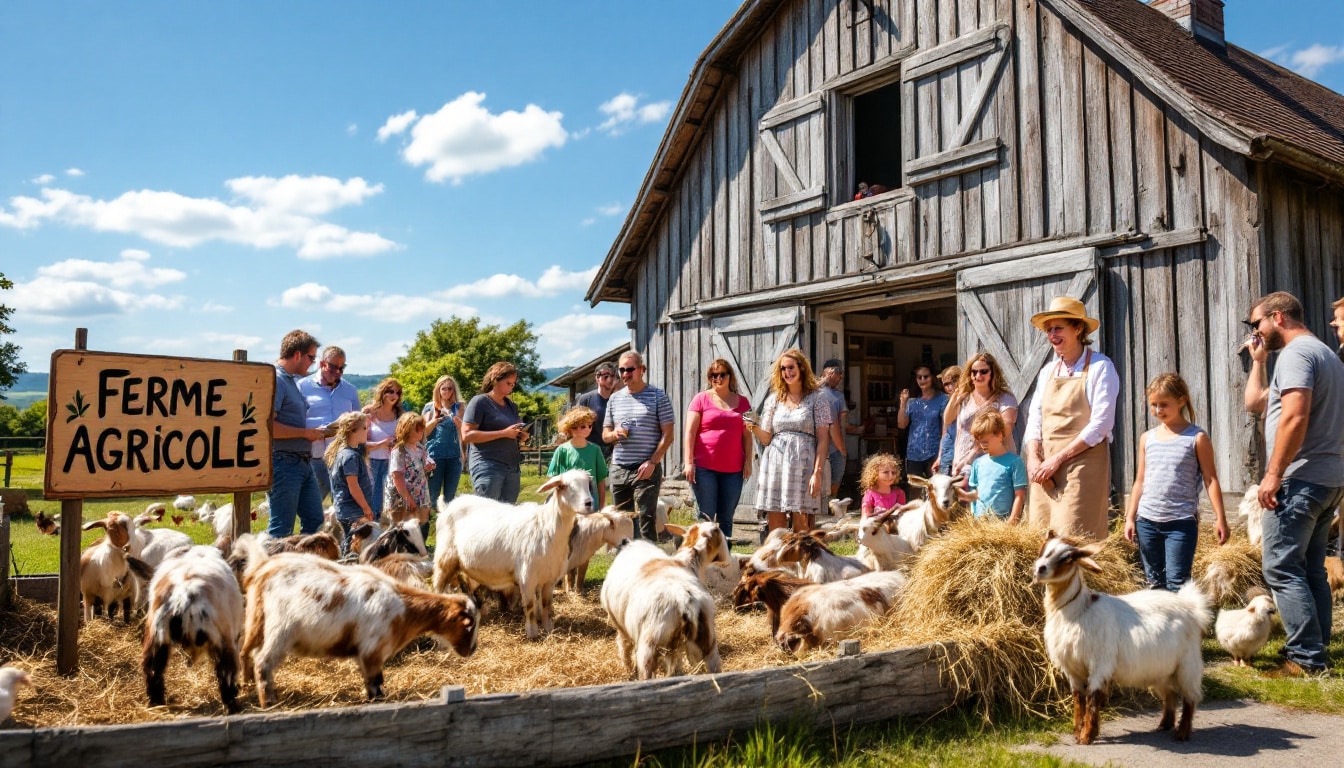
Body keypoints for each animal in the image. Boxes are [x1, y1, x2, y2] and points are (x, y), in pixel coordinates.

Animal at [142, 546, 247, 715]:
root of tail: (183, 594)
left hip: (156, 638)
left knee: (153, 670)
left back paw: (157, 703)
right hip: (225, 640)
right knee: (227, 675)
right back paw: (233, 707)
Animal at [239, 535, 481, 710]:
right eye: (469, 625)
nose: (472, 650)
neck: (405, 610)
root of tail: (263, 568)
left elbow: (371, 682)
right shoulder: (372, 651)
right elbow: (376, 685)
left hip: (255, 622)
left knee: (246, 653)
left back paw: (247, 684)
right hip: (279, 630)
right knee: (262, 662)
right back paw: (269, 703)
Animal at [432, 470, 596, 640]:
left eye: (588, 484)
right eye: (564, 486)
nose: (589, 503)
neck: (548, 526)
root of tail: (447, 506)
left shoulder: (549, 577)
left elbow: (546, 604)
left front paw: (549, 629)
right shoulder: (527, 576)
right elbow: (530, 606)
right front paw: (532, 633)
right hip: (444, 558)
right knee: (438, 586)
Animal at [1032, 535, 1214, 747]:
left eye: (1067, 557)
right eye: (1043, 549)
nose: (1040, 568)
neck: (1078, 611)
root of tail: (1191, 607)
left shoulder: (1100, 665)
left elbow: (1093, 699)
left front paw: (1086, 737)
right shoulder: (1073, 670)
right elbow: (1078, 701)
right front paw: (1078, 733)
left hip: (1188, 664)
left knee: (1190, 698)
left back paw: (1182, 733)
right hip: (1160, 669)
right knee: (1170, 694)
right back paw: (1164, 724)